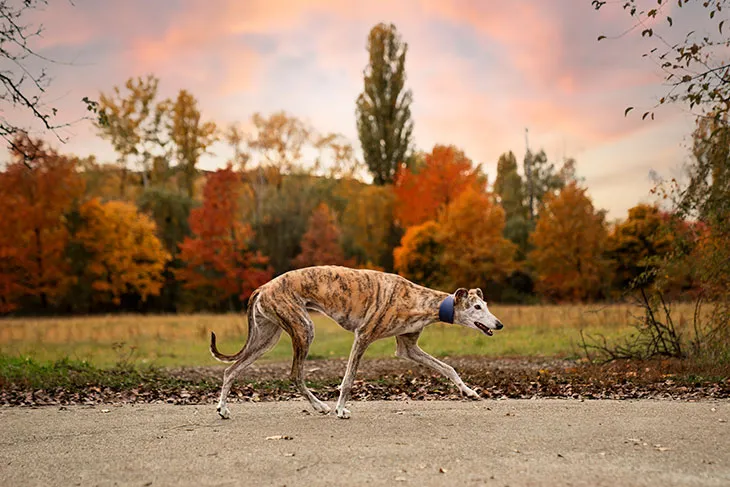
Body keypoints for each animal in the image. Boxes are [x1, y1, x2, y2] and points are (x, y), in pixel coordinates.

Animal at [210, 264, 504, 422]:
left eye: (486, 304)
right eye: (477, 307)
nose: (499, 324)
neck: (419, 299)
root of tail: (263, 287)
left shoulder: (408, 348)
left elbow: (448, 368)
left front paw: (469, 392)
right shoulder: (363, 337)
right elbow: (349, 378)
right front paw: (340, 409)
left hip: (267, 338)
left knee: (231, 370)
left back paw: (223, 408)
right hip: (304, 329)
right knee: (294, 374)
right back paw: (320, 406)